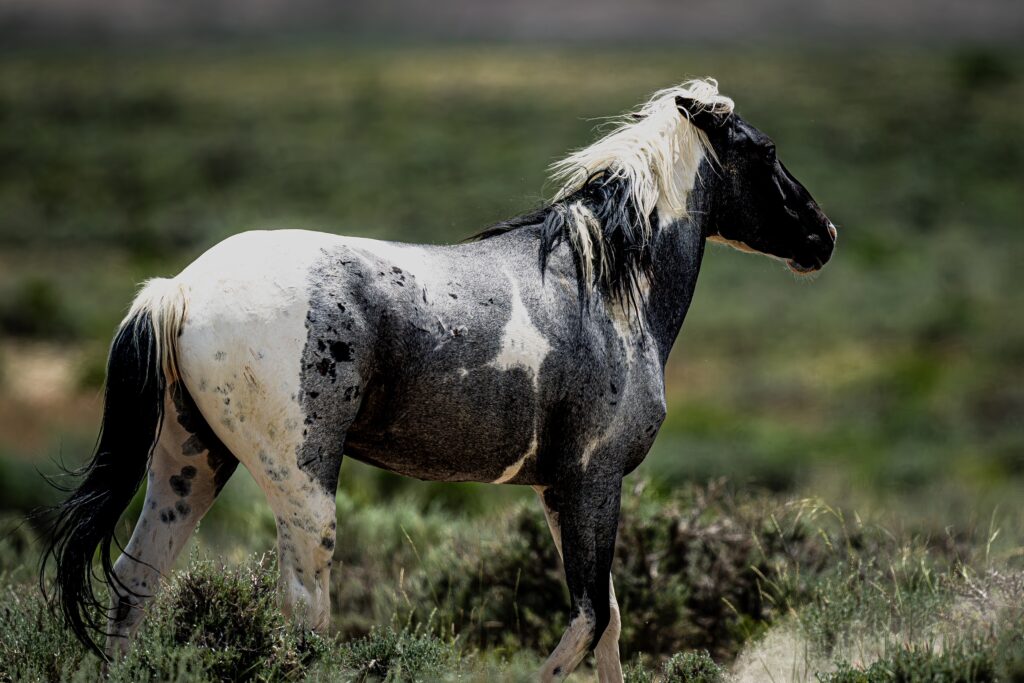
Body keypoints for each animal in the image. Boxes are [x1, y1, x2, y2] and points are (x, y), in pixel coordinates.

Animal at [44, 78, 835, 679]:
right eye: (764, 149)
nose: (823, 236)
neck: (605, 286)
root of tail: (176, 290)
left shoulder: (561, 488)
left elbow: (608, 620)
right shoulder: (593, 479)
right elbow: (587, 620)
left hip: (190, 460)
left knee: (136, 580)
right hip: (299, 485)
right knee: (301, 610)